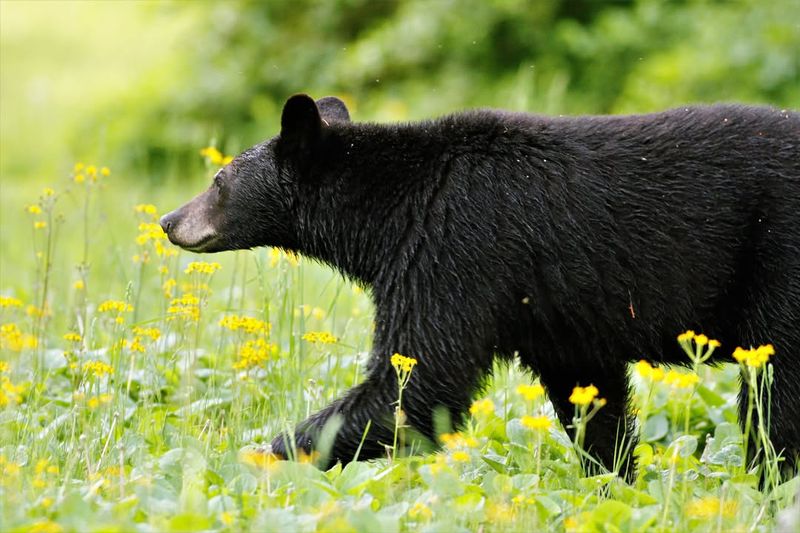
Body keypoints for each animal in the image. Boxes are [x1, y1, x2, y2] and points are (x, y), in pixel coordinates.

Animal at [162, 94, 800, 478]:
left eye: (218, 180)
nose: (170, 220)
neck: (391, 207)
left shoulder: (453, 248)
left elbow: (416, 384)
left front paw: (249, 460)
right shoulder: (552, 308)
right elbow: (589, 394)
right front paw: (612, 482)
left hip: (778, 257)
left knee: (777, 392)